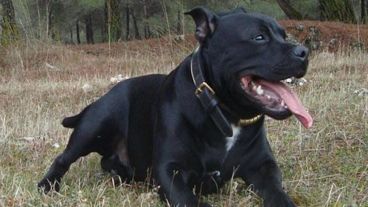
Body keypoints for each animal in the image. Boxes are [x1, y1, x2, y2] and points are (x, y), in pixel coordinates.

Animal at [38, 6, 312, 207]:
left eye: (283, 35)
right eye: (258, 37)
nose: (304, 51)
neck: (224, 113)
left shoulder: (263, 167)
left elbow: (277, 192)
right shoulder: (170, 171)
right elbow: (192, 201)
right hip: (95, 124)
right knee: (63, 159)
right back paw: (47, 185)